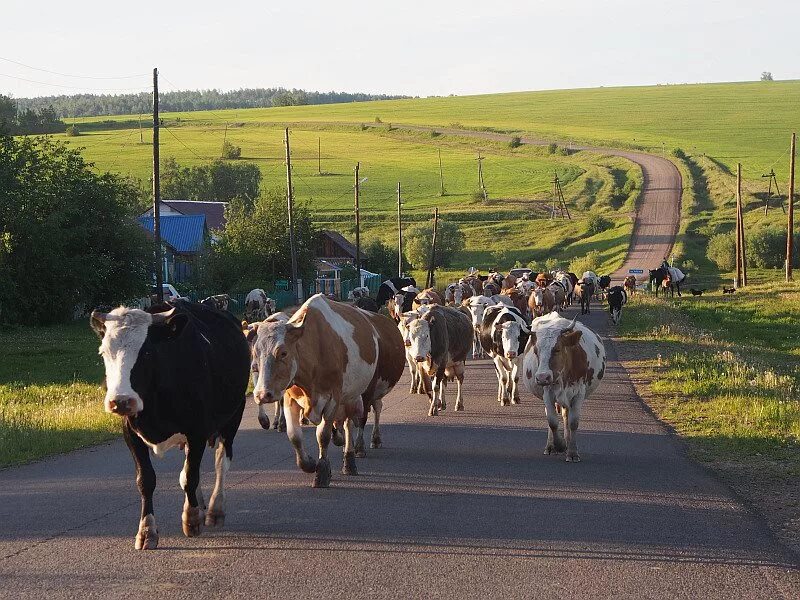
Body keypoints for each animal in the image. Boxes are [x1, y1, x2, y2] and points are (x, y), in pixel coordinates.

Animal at [90, 302, 248, 552]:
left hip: (234, 414)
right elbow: (147, 480)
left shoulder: (197, 431)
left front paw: (191, 519)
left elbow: (192, 475)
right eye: (104, 352)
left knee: (221, 461)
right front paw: (147, 531)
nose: (121, 401)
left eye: (146, 353)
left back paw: (214, 510)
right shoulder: (130, 433)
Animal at [253, 296, 384, 488]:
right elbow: (294, 436)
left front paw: (322, 471)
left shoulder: (333, 398)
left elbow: (323, 435)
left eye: (283, 353)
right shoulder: (290, 398)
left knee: (348, 425)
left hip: (351, 398)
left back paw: (349, 461)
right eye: (255, 353)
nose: (262, 394)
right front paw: (309, 463)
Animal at [520, 312, 608, 462]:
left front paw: (572, 452)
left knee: (566, 416)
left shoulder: (578, 393)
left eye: (557, 349)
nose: (542, 377)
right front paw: (559, 445)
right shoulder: (548, 394)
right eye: (536, 351)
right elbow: (552, 421)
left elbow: (573, 422)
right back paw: (551, 446)